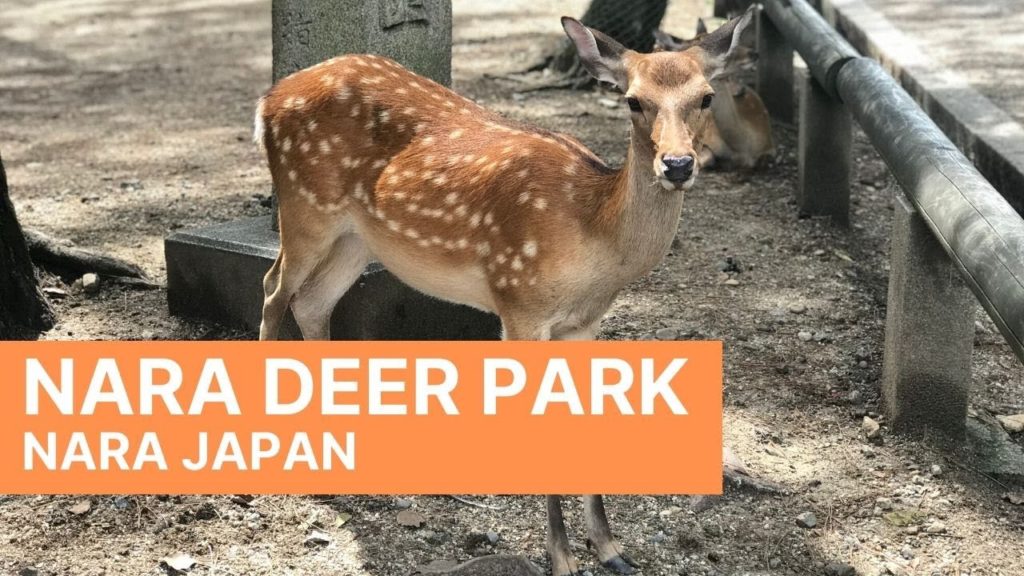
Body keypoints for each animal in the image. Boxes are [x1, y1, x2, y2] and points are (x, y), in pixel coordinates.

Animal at [254, 7, 754, 576]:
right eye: (633, 99)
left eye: (706, 97)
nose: (677, 164)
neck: (593, 240)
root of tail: (267, 100)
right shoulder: (520, 304)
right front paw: (561, 557)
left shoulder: (584, 323)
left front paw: (610, 548)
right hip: (303, 205)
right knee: (273, 288)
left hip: (357, 237)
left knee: (313, 300)